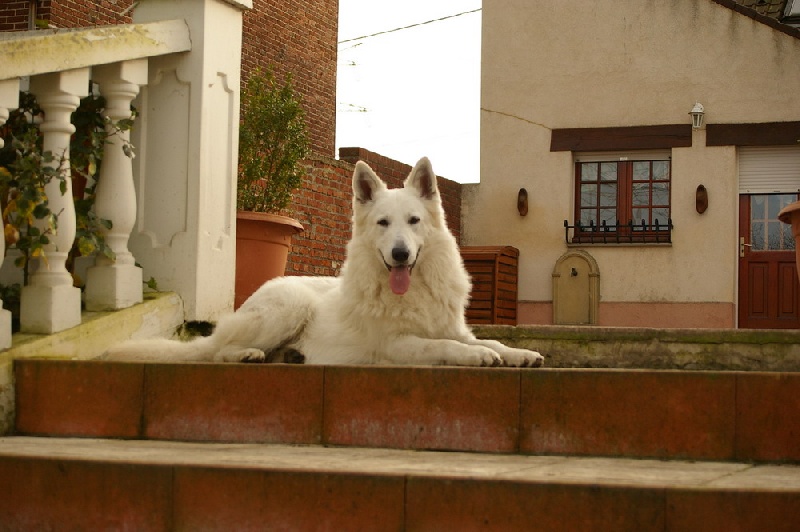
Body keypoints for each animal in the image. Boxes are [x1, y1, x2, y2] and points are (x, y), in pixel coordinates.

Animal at [104, 156, 544, 368]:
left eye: (414, 221)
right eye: (383, 223)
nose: (400, 254)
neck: (413, 289)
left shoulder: (452, 328)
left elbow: (487, 339)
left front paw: (516, 353)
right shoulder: (398, 344)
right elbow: (446, 347)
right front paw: (479, 358)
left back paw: (290, 355)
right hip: (288, 308)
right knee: (212, 351)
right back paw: (246, 355)